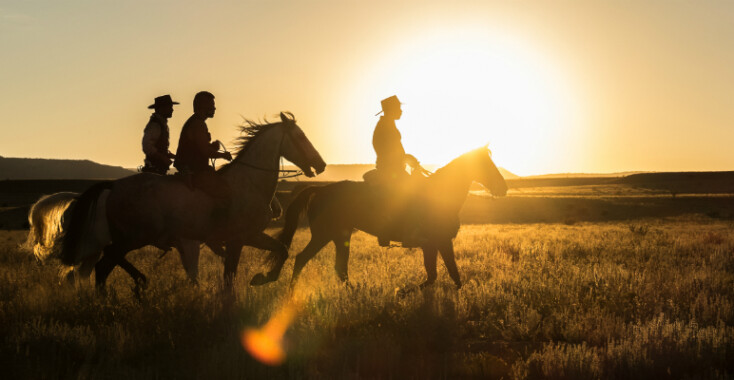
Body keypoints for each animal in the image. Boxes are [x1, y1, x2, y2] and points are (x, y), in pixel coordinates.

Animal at [54, 112, 324, 288]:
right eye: (300, 137)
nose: (321, 165)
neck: (249, 182)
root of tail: (114, 185)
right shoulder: (240, 238)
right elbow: (233, 275)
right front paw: (258, 281)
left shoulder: (248, 238)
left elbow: (281, 250)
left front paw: (262, 279)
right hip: (132, 238)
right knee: (102, 266)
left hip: (128, 239)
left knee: (102, 267)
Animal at [260, 145, 512, 288]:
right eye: (486, 164)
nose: (503, 188)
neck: (439, 195)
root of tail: (320, 190)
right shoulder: (438, 242)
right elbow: (444, 273)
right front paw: (406, 291)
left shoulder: (435, 244)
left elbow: (440, 273)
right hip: (324, 235)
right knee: (302, 259)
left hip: (341, 236)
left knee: (340, 268)